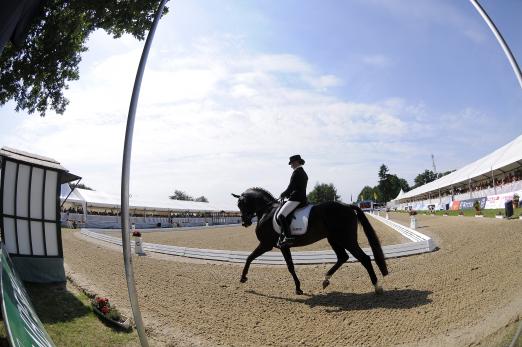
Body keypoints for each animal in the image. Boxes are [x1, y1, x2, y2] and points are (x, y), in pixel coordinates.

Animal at [231, 189, 386, 294]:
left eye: (241, 204)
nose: (244, 223)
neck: (266, 211)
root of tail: (347, 206)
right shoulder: (282, 247)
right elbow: (290, 266)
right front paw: (298, 288)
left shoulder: (266, 245)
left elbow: (250, 258)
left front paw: (243, 278)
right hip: (334, 239)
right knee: (343, 257)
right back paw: (325, 280)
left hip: (346, 239)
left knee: (364, 258)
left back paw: (377, 287)